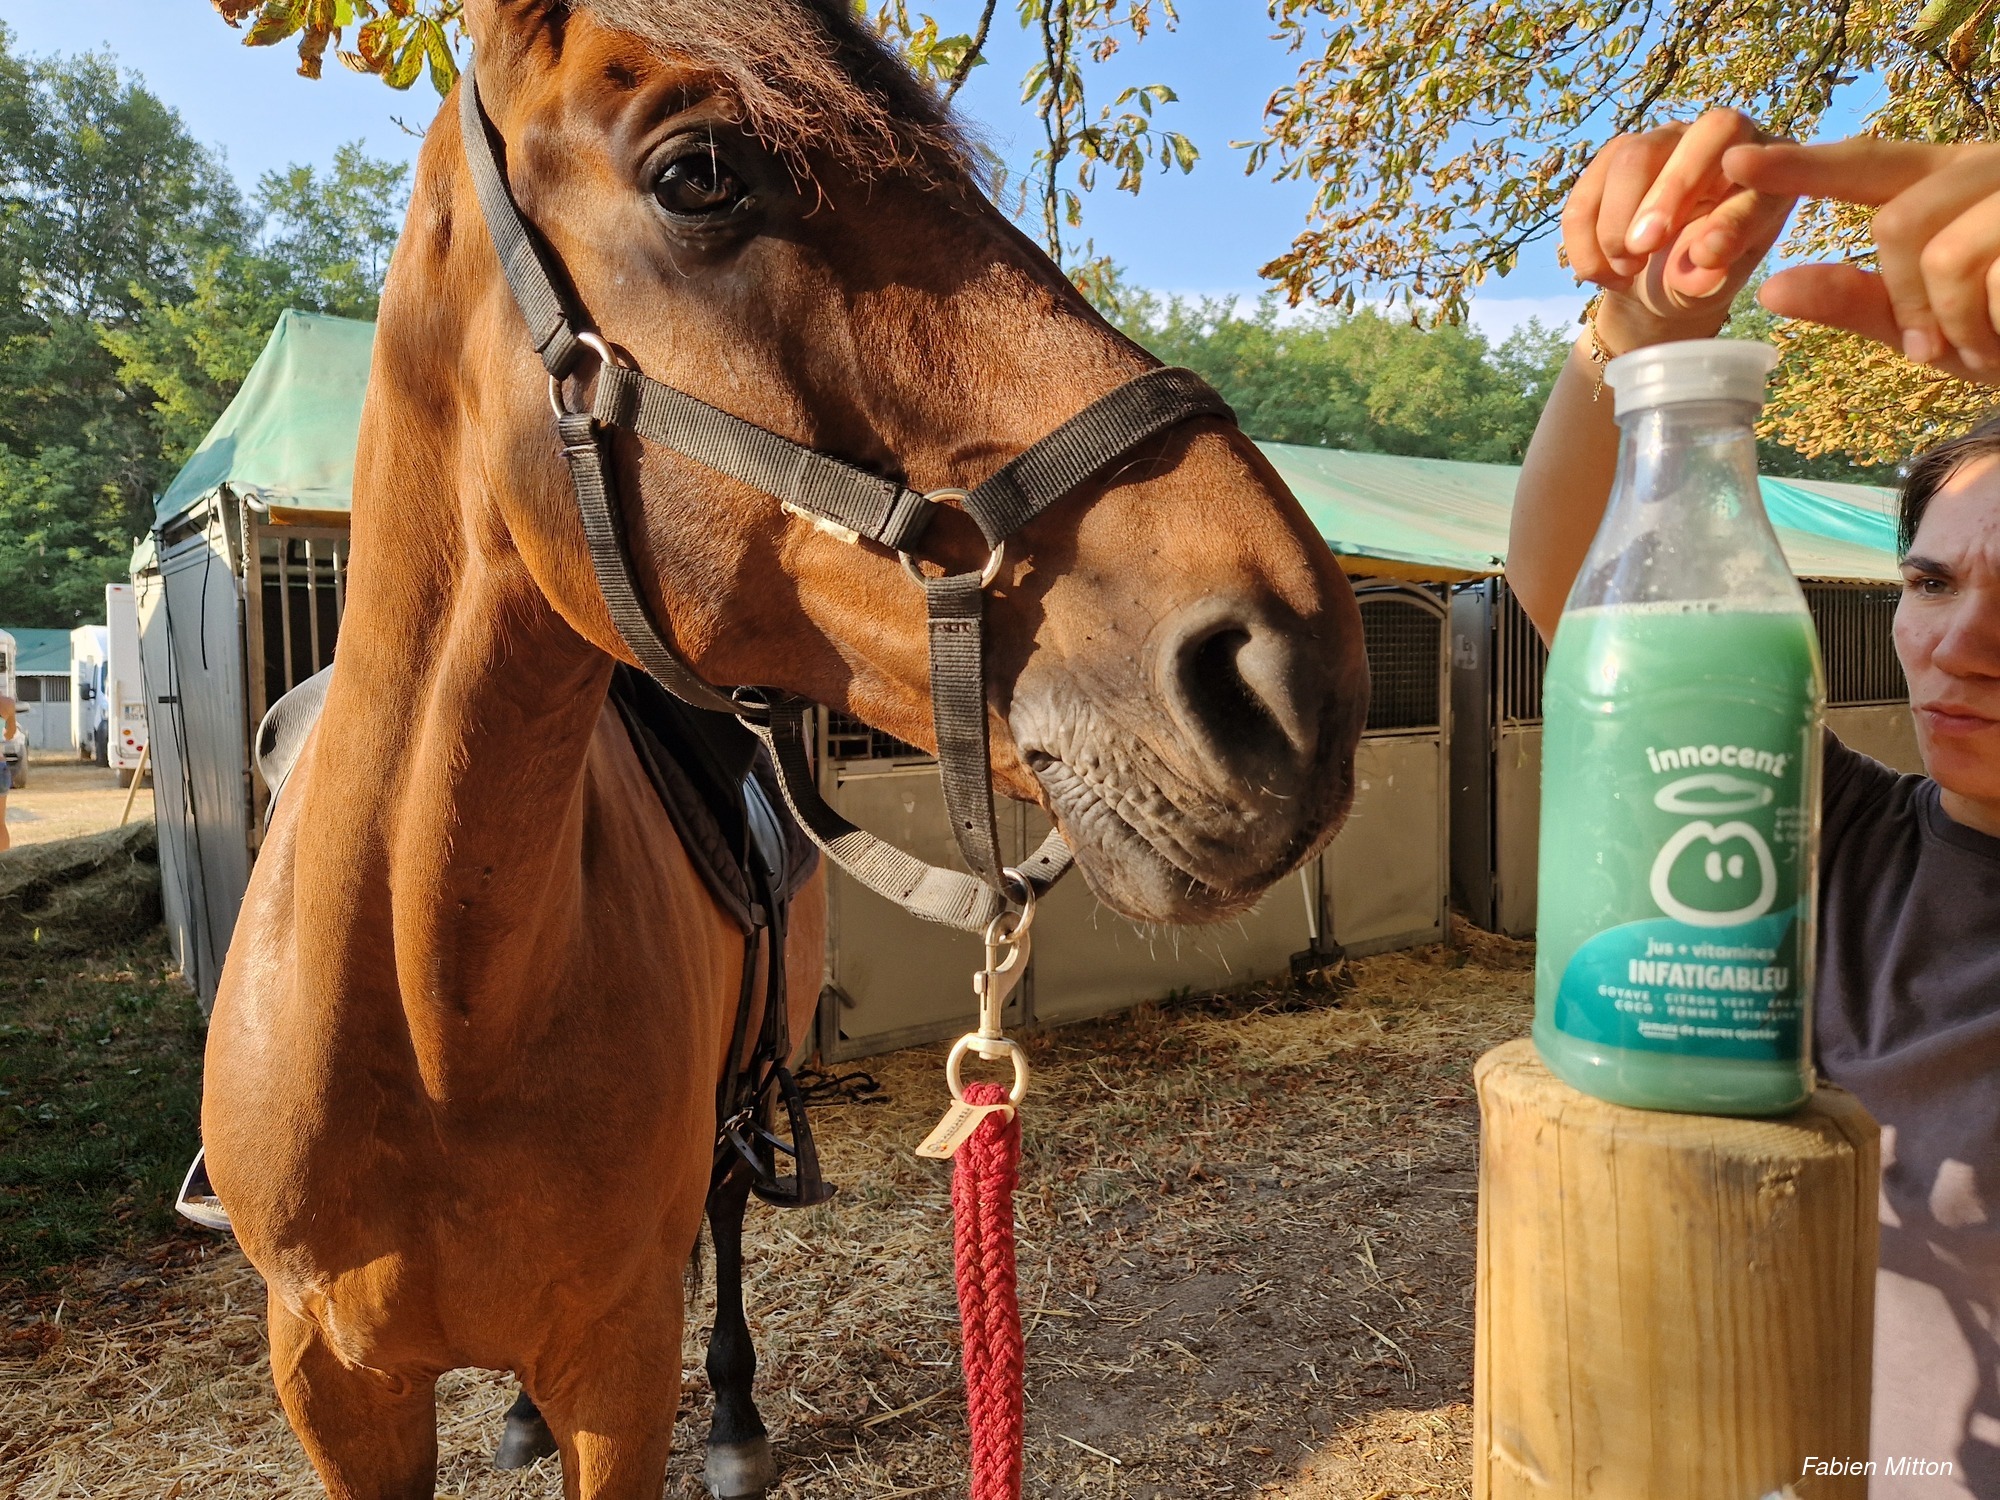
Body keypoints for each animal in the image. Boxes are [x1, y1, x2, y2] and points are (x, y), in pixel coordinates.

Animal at [199, 1, 1371, 1496]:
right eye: (700, 174)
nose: (1292, 668)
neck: (427, 1011)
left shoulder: (617, 1362)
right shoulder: (331, 1379)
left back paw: (739, 1423)